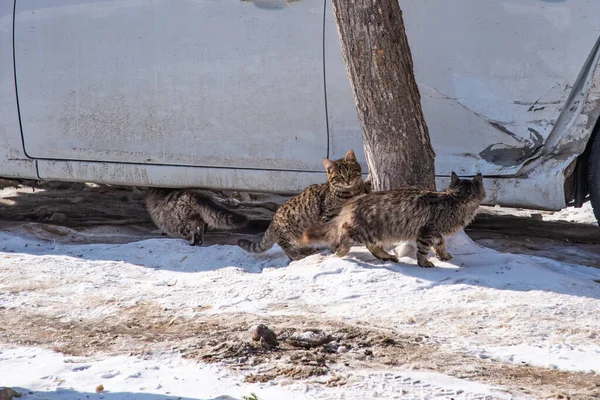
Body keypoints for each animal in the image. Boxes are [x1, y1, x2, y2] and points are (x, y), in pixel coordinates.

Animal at [302, 173, 486, 268]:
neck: (456, 198)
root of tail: (355, 201)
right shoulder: (427, 232)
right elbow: (423, 250)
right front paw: (424, 263)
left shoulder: (436, 233)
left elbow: (440, 245)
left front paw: (444, 256)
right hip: (365, 230)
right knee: (345, 234)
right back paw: (341, 251)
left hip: (375, 233)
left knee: (373, 246)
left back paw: (388, 257)